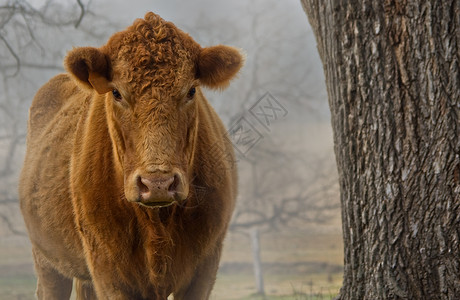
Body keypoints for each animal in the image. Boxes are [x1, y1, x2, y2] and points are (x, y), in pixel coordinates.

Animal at [18, 12, 241, 300]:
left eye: (191, 90)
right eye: (117, 92)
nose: (158, 183)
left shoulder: (203, 270)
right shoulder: (110, 274)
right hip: (48, 262)